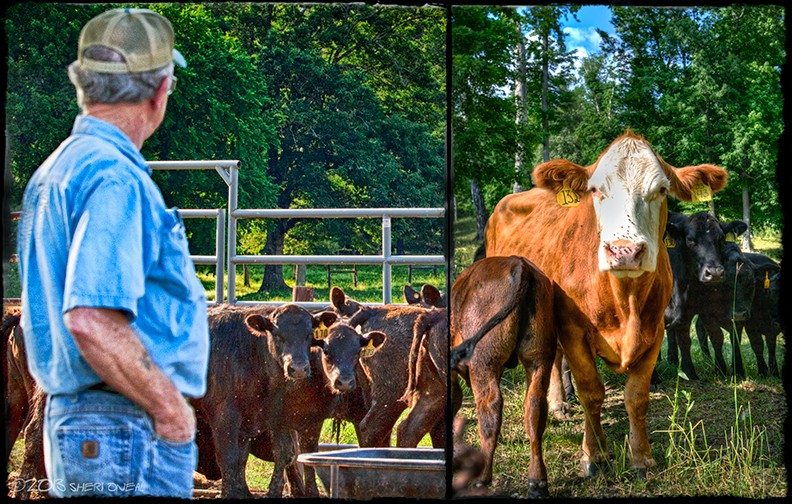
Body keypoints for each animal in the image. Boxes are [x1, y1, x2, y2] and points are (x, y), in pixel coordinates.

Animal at [191, 303, 337, 499]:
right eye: (277, 334)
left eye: (309, 334)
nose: (299, 368)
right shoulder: (224, 415)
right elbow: (228, 458)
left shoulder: (253, 418)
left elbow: (243, 458)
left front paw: (243, 493)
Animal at [482, 130, 728, 477]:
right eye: (596, 190)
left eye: (661, 190)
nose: (625, 251)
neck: (625, 301)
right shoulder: (573, 330)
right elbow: (591, 392)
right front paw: (595, 455)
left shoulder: (655, 330)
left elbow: (637, 397)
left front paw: (641, 458)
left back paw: (558, 403)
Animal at [662, 211, 748, 380]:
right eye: (690, 239)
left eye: (721, 239)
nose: (714, 273)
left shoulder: (694, 311)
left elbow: (691, 340)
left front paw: (692, 373)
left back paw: (673, 360)